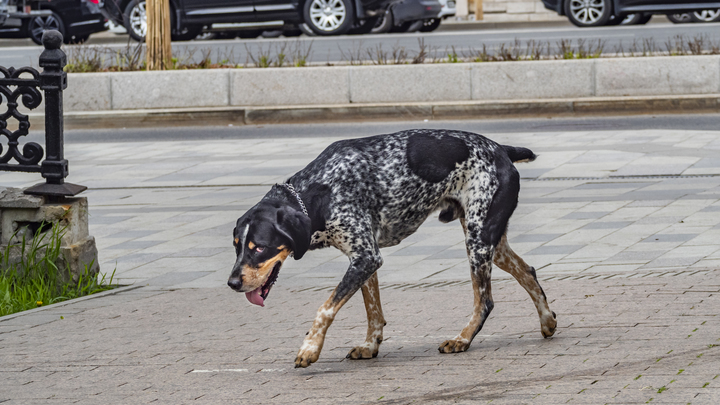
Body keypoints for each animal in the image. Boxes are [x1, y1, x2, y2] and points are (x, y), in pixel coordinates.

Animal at [225, 129, 556, 366]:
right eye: (237, 246)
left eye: (259, 247)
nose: (232, 283)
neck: (320, 191)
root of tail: (501, 149)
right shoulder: (364, 259)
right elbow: (373, 311)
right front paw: (370, 345)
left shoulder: (365, 258)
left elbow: (325, 309)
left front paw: (310, 347)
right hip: (490, 243)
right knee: (528, 271)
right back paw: (547, 321)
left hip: (478, 240)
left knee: (484, 301)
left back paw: (462, 339)